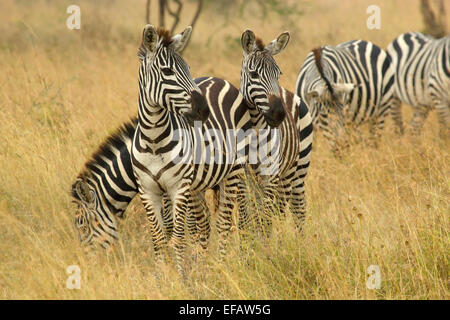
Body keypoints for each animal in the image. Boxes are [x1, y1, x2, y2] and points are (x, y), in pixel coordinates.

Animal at [130, 25, 253, 276]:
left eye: (187, 68)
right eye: (167, 71)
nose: (204, 109)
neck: (154, 141)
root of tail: (219, 80)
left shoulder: (179, 187)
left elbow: (178, 238)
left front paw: (181, 278)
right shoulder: (148, 191)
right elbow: (158, 239)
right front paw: (160, 279)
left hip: (234, 171)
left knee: (224, 222)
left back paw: (221, 269)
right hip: (200, 183)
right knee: (205, 223)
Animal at [237, 28, 314, 231]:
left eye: (278, 73)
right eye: (253, 74)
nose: (279, 114)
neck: (255, 129)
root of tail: (287, 92)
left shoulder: (270, 174)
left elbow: (264, 217)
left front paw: (264, 239)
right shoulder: (243, 175)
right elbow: (247, 215)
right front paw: (248, 238)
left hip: (297, 169)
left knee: (295, 208)